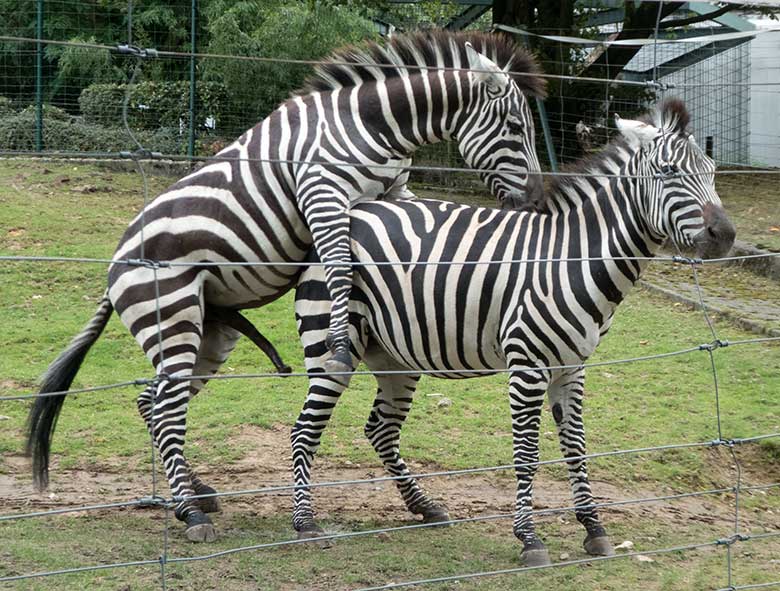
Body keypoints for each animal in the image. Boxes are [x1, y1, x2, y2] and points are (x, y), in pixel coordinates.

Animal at [27, 30, 544, 544]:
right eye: (516, 127)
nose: (536, 199)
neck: (371, 124)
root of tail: (113, 269)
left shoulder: (395, 191)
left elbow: (421, 225)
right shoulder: (322, 194)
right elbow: (338, 265)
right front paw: (337, 343)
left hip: (211, 334)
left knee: (152, 402)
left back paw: (195, 493)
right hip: (174, 317)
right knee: (168, 407)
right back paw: (190, 514)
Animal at [292, 99, 736, 568]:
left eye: (712, 171)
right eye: (668, 171)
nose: (725, 236)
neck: (572, 259)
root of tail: (351, 210)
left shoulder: (573, 366)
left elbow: (576, 444)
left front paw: (594, 529)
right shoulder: (527, 365)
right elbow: (527, 453)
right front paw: (530, 538)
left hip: (396, 355)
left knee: (381, 429)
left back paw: (425, 506)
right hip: (330, 343)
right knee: (305, 430)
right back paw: (305, 522)